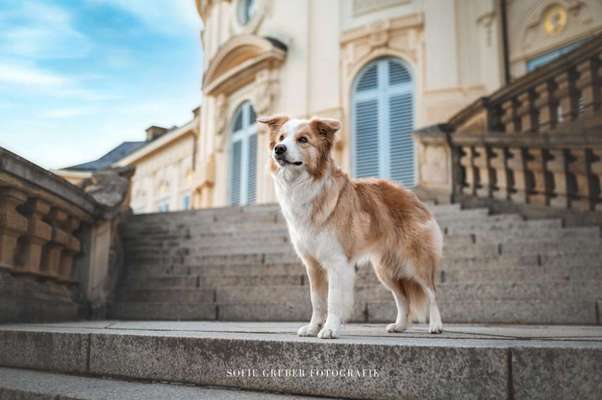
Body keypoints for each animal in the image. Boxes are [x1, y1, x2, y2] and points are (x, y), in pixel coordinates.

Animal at [255, 114, 442, 340]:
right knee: (403, 298)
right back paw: (399, 325)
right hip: (386, 270)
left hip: (416, 262)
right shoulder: (312, 265)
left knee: (432, 293)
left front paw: (329, 329)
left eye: (303, 140)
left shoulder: (337, 262)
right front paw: (312, 328)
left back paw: (436, 325)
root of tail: (410, 194)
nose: (279, 149)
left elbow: (333, 300)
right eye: (281, 137)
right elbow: (316, 300)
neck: (305, 185)